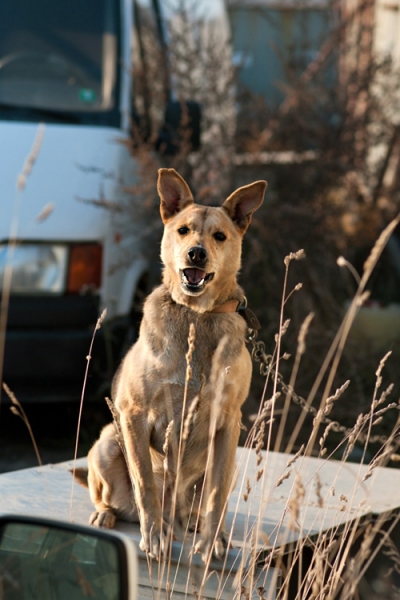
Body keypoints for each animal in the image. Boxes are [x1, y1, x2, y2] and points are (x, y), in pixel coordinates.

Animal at [79, 169, 268, 564]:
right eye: (183, 230)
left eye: (220, 236)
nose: (196, 253)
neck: (197, 315)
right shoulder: (134, 415)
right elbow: (146, 485)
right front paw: (154, 537)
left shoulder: (228, 422)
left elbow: (217, 494)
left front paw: (213, 542)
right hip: (106, 443)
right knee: (116, 498)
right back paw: (114, 515)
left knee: (200, 500)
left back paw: (195, 522)